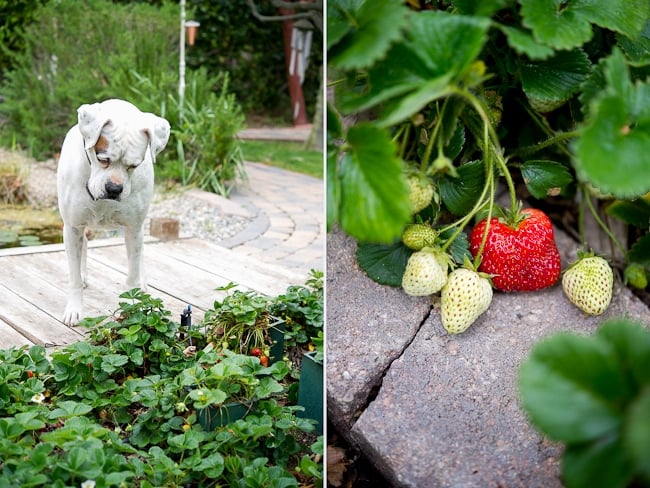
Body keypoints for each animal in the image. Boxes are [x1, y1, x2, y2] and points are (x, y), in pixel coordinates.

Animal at [57, 98, 170, 324]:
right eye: (103, 158)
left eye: (134, 165)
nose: (114, 189)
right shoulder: (72, 226)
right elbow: (74, 276)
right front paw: (74, 308)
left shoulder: (133, 229)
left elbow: (132, 274)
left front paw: (133, 308)